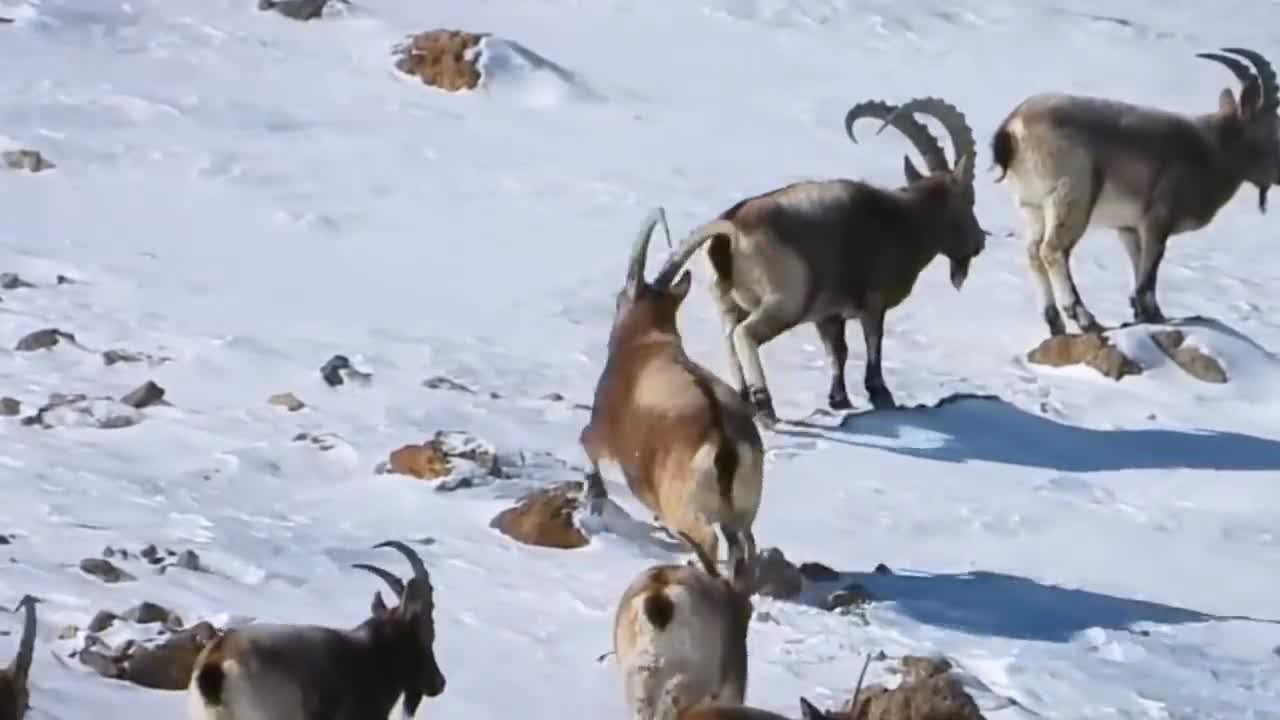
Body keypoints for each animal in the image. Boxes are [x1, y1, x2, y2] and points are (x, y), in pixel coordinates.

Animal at [645, 94, 983, 420]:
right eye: (969, 200)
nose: (979, 242)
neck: (904, 221)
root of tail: (732, 229)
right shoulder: (873, 302)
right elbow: (874, 345)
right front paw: (881, 395)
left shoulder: (828, 314)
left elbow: (838, 351)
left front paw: (840, 399)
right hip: (786, 301)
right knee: (745, 335)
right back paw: (765, 406)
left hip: (727, 301)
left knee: (729, 337)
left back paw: (744, 399)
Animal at [988, 47, 1280, 333]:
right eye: (1272, 131)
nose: (1278, 176)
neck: (1212, 149)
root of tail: (1011, 127)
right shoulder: (1157, 219)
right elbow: (1149, 272)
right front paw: (1151, 314)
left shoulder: (1128, 228)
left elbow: (1139, 264)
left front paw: (1146, 314)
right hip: (1070, 197)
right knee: (1052, 251)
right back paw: (1085, 318)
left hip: (1032, 207)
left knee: (1033, 253)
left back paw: (1055, 323)